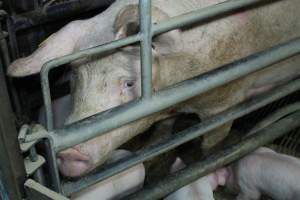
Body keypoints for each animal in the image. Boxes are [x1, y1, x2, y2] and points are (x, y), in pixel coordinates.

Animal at [6, 0, 300, 178]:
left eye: (129, 82)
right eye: (74, 78)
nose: (69, 154)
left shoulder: (226, 98)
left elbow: (212, 143)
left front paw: (205, 161)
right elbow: (162, 131)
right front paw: (153, 147)